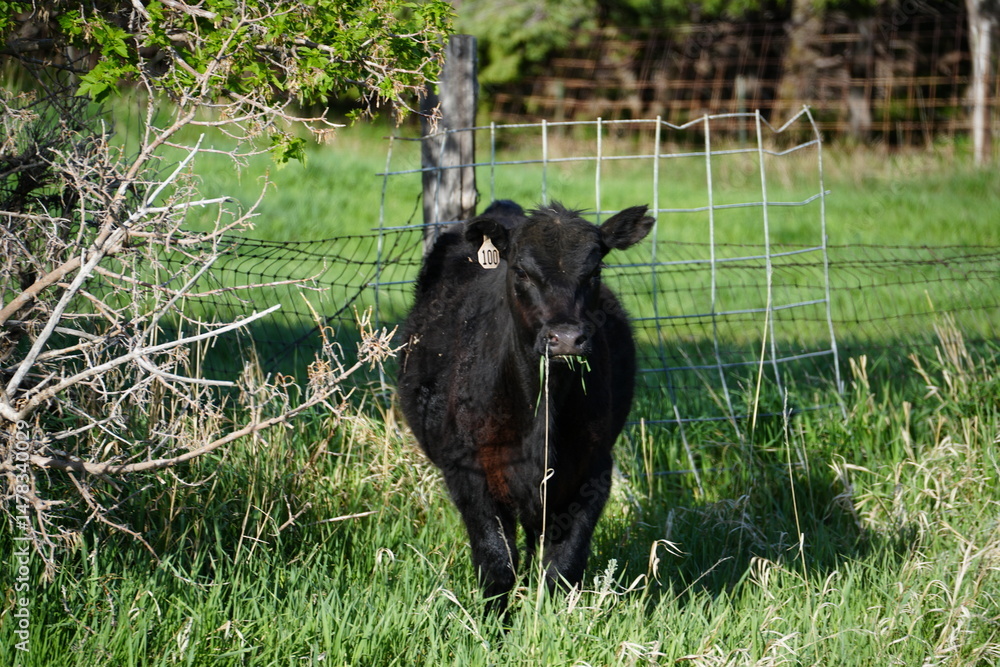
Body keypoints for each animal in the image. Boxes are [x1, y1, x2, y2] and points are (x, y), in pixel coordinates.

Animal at [397, 199, 655, 615]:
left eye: (595, 270)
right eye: (520, 270)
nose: (566, 337)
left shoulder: (593, 470)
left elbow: (563, 565)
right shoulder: (468, 471)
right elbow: (496, 561)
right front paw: (494, 626)